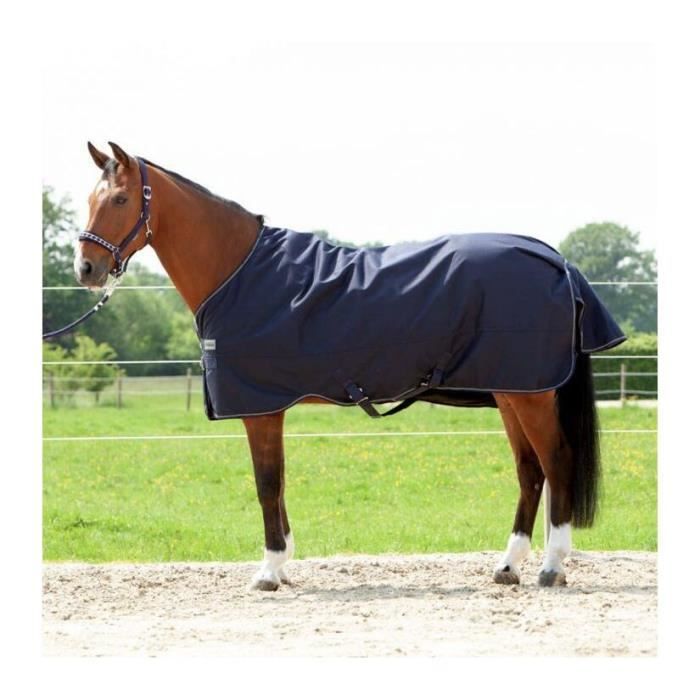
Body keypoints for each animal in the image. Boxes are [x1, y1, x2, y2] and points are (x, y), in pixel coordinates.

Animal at [74, 141, 625, 590]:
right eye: (89, 200)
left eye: (119, 200)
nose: (86, 269)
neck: (238, 272)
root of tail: (556, 260)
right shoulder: (271, 407)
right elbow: (278, 484)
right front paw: (284, 563)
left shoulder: (261, 409)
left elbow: (266, 484)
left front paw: (269, 570)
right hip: (512, 390)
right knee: (530, 471)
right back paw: (508, 566)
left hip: (530, 394)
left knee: (557, 462)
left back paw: (551, 568)